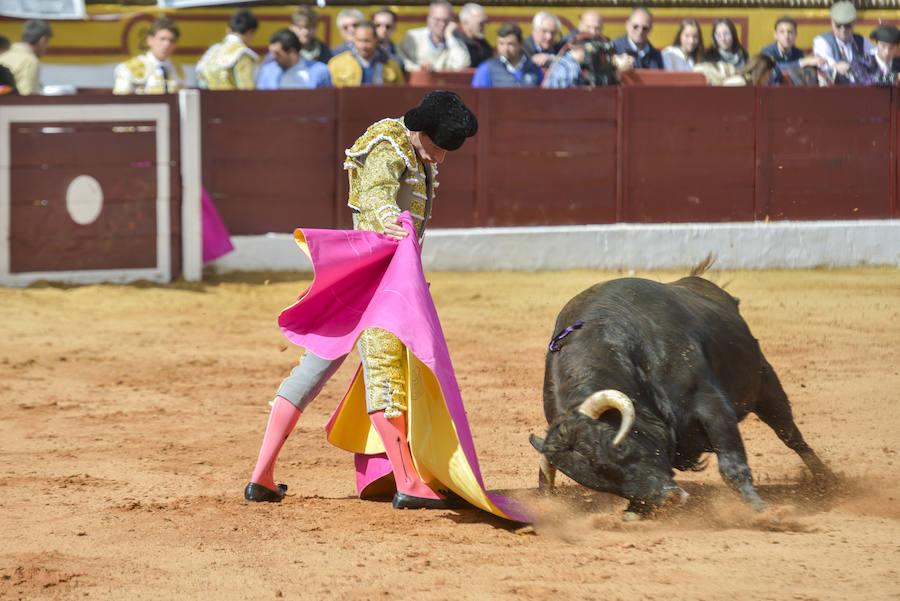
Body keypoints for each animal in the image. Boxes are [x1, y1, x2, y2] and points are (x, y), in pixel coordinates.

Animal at [532, 270, 832, 512]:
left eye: (619, 448)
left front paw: (764, 512)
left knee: (790, 435)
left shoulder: (712, 406)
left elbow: (732, 466)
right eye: (599, 483)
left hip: (766, 385)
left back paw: (828, 482)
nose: (668, 500)